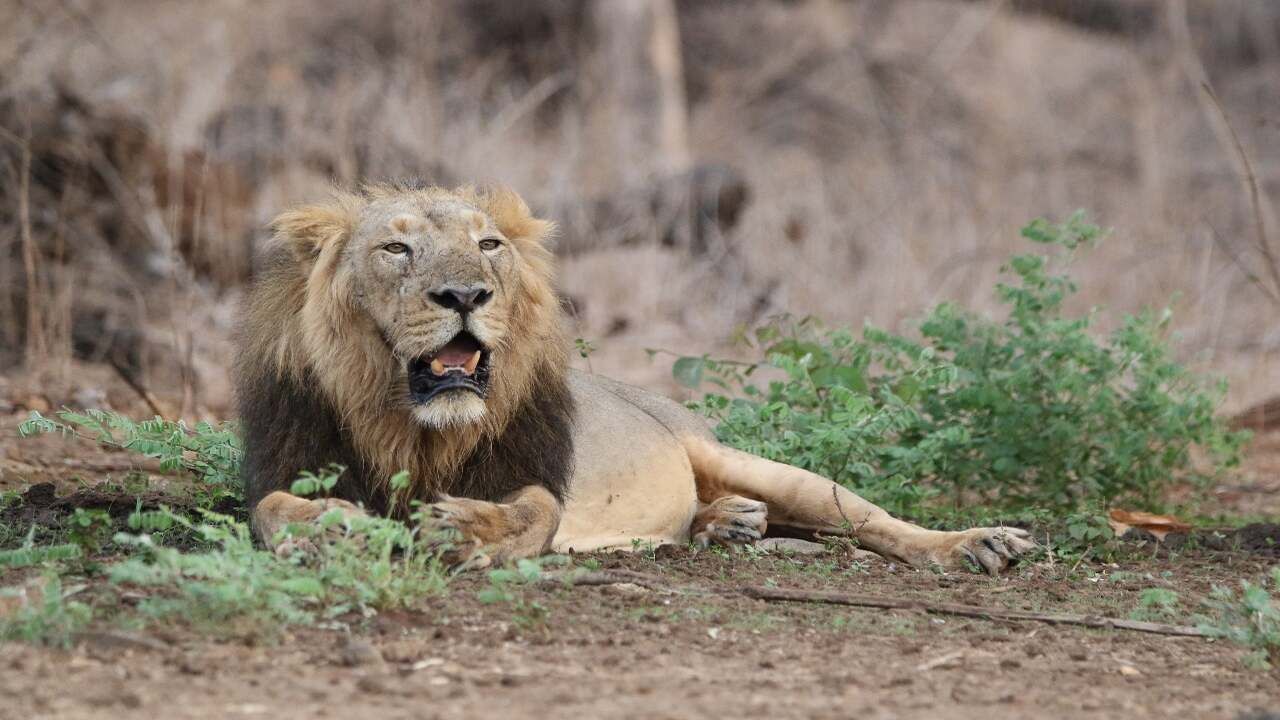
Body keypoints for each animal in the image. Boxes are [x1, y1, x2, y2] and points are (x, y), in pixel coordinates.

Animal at [236, 183, 1035, 574]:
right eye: (395, 249)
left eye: (488, 244)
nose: (466, 295)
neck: (417, 427)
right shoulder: (289, 457)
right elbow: (272, 509)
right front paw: (333, 530)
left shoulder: (531, 469)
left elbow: (532, 513)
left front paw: (464, 528)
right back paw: (724, 525)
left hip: (755, 463)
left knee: (870, 520)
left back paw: (977, 544)